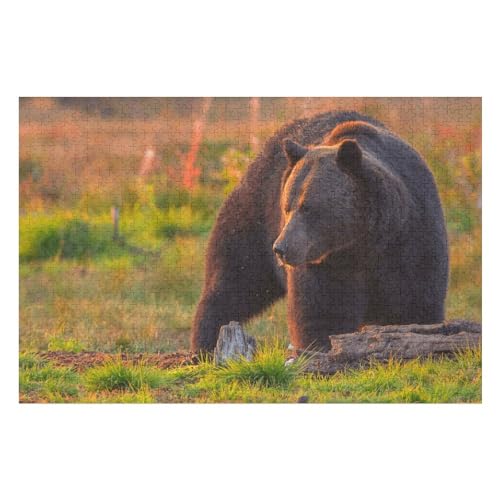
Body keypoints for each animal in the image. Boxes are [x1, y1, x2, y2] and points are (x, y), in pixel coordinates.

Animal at [190, 110, 450, 352]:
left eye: (307, 207)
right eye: (287, 206)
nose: (280, 248)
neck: (363, 243)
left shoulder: (412, 240)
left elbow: (416, 302)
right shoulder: (325, 263)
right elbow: (322, 310)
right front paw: (321, 346)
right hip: (254, 215)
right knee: (232, 280)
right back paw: (204, 344)